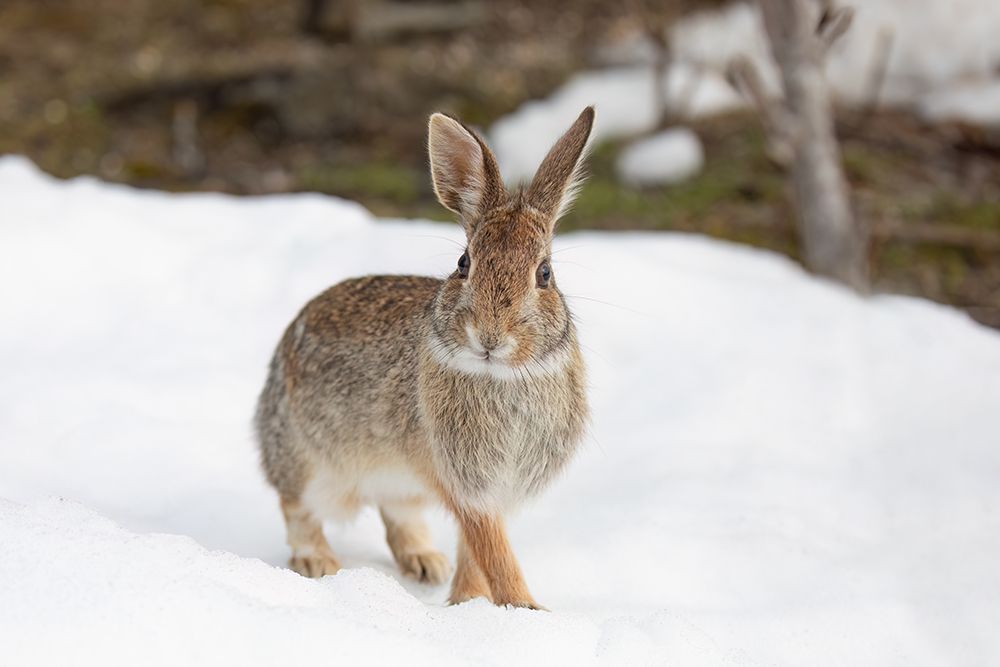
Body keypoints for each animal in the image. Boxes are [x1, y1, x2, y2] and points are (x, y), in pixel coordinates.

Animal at [255, 106, 594, 609]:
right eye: (464, 263)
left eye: (545, 273)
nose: (489, 335)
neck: (501, 375)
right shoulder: (466, 482)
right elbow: (493, 549)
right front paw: (524, 607)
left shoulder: (488, 486)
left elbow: (477, 550)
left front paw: (469, 603)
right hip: (307, 460)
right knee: (296, 505)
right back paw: (318, 561)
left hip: (400, 481)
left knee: (396, 514)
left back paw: (425, 562)